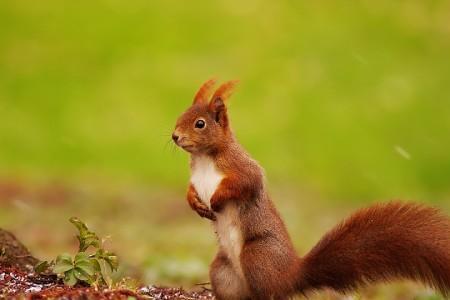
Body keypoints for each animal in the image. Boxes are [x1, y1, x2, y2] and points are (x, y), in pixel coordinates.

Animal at [171, 78, 450, 298]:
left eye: (199, 124)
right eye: (180, 116)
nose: (174, 136)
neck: (205, 158)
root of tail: (290, 276)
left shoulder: (243, 168)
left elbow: (245, 183)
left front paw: (216, 200)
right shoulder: (196, 178)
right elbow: (190, 190)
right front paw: (195, 203)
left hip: (256, 256)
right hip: (222, 271)